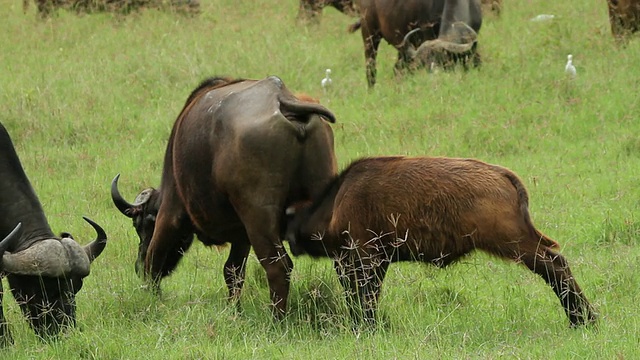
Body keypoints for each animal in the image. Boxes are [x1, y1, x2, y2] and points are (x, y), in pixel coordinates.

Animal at [110, 76, 340, 318]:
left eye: (140, 225)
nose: (136, 266)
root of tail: (281, 98)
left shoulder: (170, 212)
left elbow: (154, 259)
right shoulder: (241, 235)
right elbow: (233, 271)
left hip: (259, 216)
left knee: (279, 266)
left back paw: (277, 318)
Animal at [284, 156, 596, 328]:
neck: (337, 202)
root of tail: (502, 175)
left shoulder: (364, 257)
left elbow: (365, 296)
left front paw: (366, 326)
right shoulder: (374, 261)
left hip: (514, 244)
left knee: (555, 264)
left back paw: (583, 320)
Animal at [348, 0, 482, 87]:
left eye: (443, 61)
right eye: (424, 64)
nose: (435, 77)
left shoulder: (473, 43)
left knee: (398, 69)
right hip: (369, 34)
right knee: (371, 68)